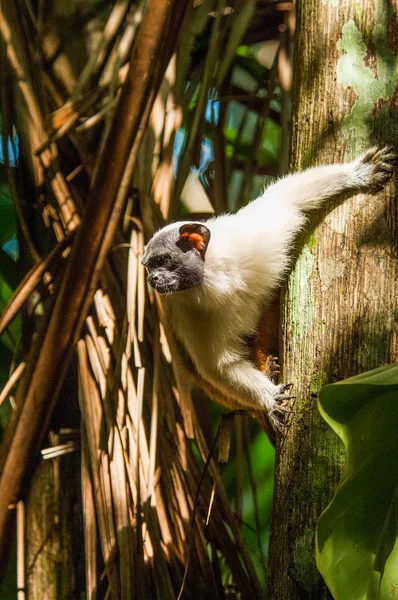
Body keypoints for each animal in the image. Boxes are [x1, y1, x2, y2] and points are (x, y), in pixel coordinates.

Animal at [141, 146, 396, 436]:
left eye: (162, 261)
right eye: (149, 267)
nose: (153, 279)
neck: (217, 277)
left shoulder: (253, 239)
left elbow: (287, 199)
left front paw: (356, 174)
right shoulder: (189, 312)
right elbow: (220, 365)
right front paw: (270, 399)